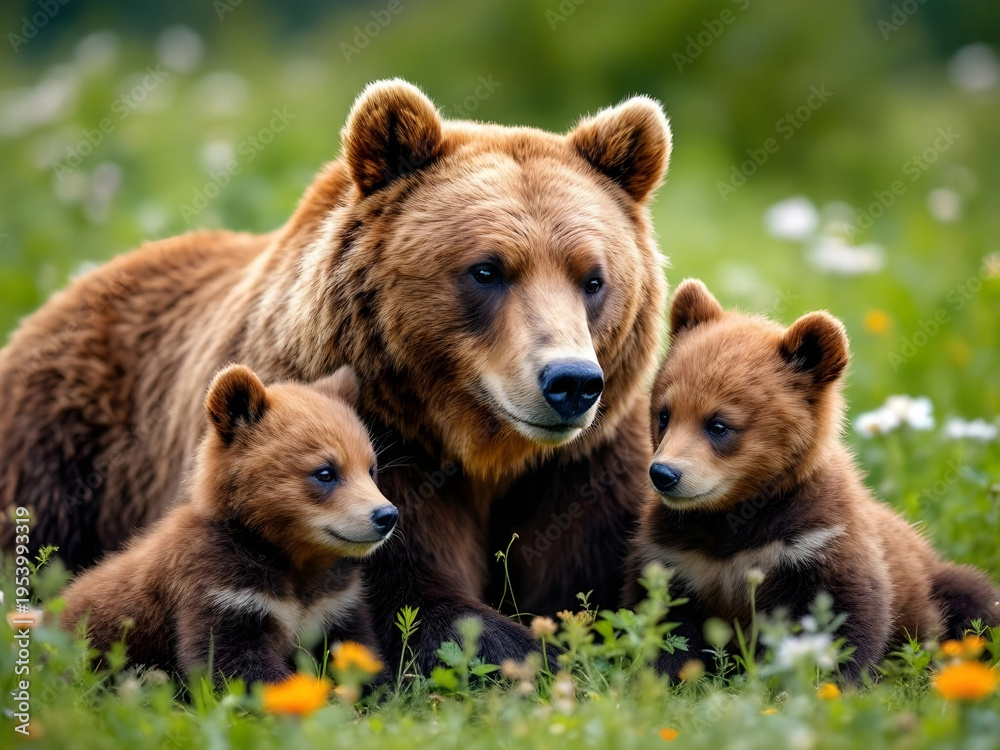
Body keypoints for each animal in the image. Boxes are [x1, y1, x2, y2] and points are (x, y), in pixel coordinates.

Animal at [59, 364, 395, 683]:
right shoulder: (221, 590)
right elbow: (230, 660)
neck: (289, 555)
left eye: (371, 468)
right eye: (325, 472)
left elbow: (357, 650)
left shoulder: (334, 601)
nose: (386, 515)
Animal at [625, 279, 1000, 681]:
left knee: (976, 599)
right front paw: (673, 675)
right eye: (664, 414)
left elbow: (848, 614)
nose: (664, 474)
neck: (736, 518)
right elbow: (665, 621)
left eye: (719, 424)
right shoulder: (675, 555)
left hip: (936, 580)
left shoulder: (817, 541)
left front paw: (831, 678)